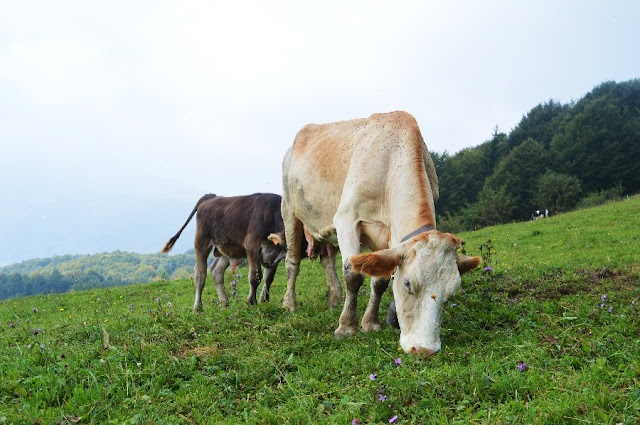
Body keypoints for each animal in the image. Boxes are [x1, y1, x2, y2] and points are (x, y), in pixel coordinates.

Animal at [280, 110, 480, 354]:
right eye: (408, 284)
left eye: (452, 293)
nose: (424, 350)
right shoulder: (346, 218)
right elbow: (353, 275)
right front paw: (346, 327)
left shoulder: (389, 236)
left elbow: (380, 281)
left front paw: (371, 322)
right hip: (289, 210)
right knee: (292, 263)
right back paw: (289, 304)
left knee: (327, 260)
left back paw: (334, 300)